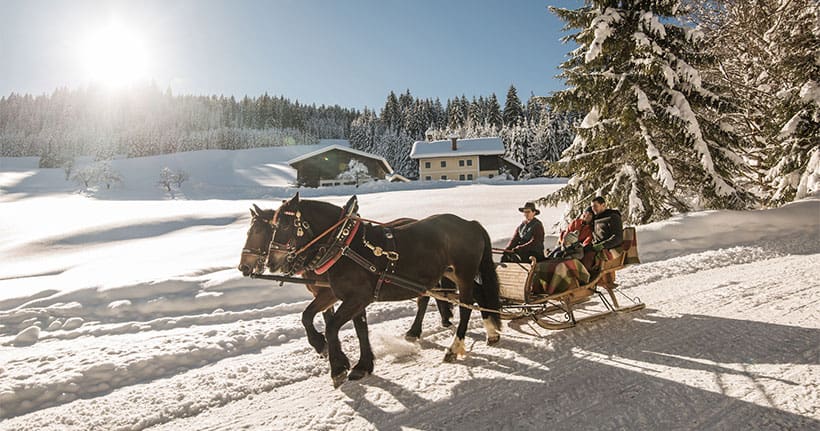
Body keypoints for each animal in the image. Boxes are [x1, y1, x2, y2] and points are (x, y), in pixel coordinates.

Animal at [237, 206, 454, 358]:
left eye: (258, 232)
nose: (243, 267)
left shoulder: (331, 293)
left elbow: (315, 317)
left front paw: (325, 346)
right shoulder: (327, 294)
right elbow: (324, 318)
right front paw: (329, 348)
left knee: (425, 298)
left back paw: (417, 329)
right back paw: (444, 317)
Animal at [266, 195, 502, 388]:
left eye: (285, 225)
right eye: (273, 226)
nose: (271, 263)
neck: (343, 245)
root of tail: (470, 223)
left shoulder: (357, 297)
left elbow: (332, 327)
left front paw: (338, 368)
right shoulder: (343, 295)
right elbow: (318, 319)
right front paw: (357, 363)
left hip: (464, 273)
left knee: (466, 307)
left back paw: (454, 347)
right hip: (452, 273)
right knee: (478, 295)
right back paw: (491, 332)